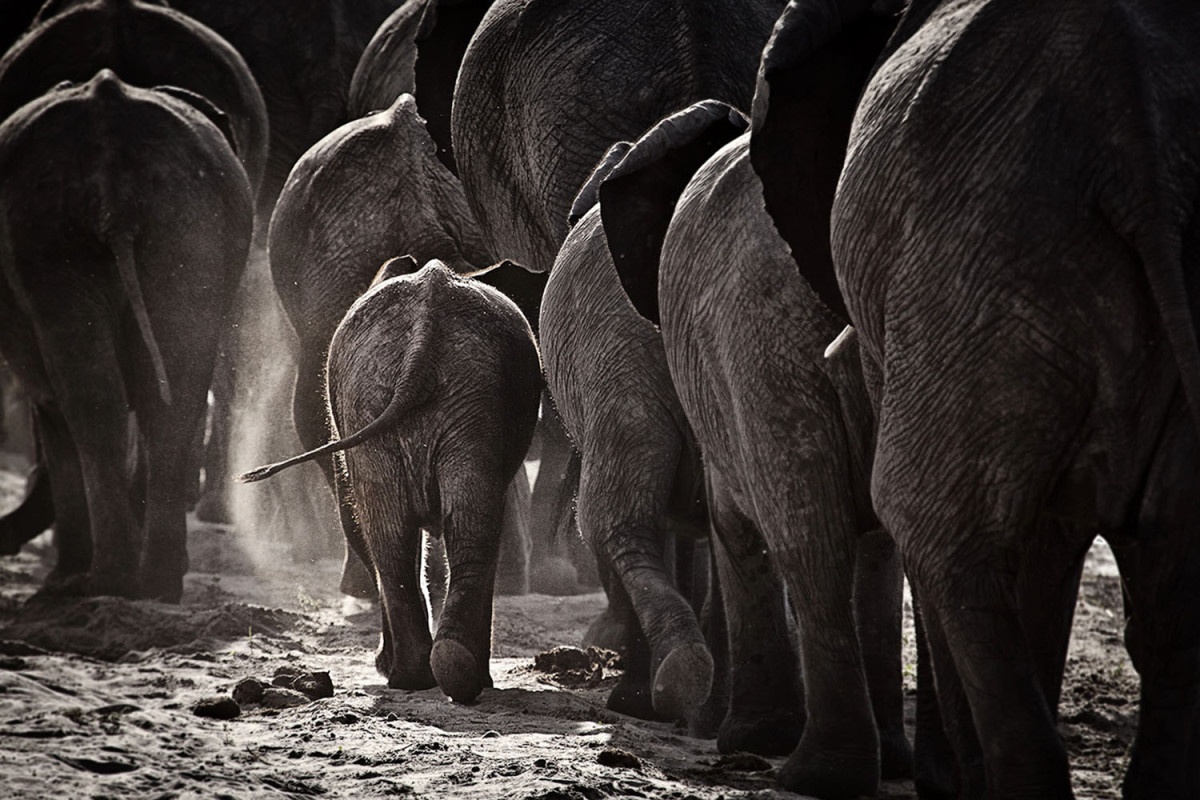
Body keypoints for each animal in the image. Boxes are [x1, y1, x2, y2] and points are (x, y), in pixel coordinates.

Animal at [0, 69, 253, 601]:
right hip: (189, 225)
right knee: (173, 395)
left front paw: (62, 577)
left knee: (88, 400)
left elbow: (50, 406)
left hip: (44, 233)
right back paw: (155, 584)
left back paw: (94, 581)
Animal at [240, 258, 542, 703]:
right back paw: (434, 675)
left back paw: (425, 674)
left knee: (405, 532)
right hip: (410, 396)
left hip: (431, 397)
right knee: (428, 529)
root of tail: (424, 332)